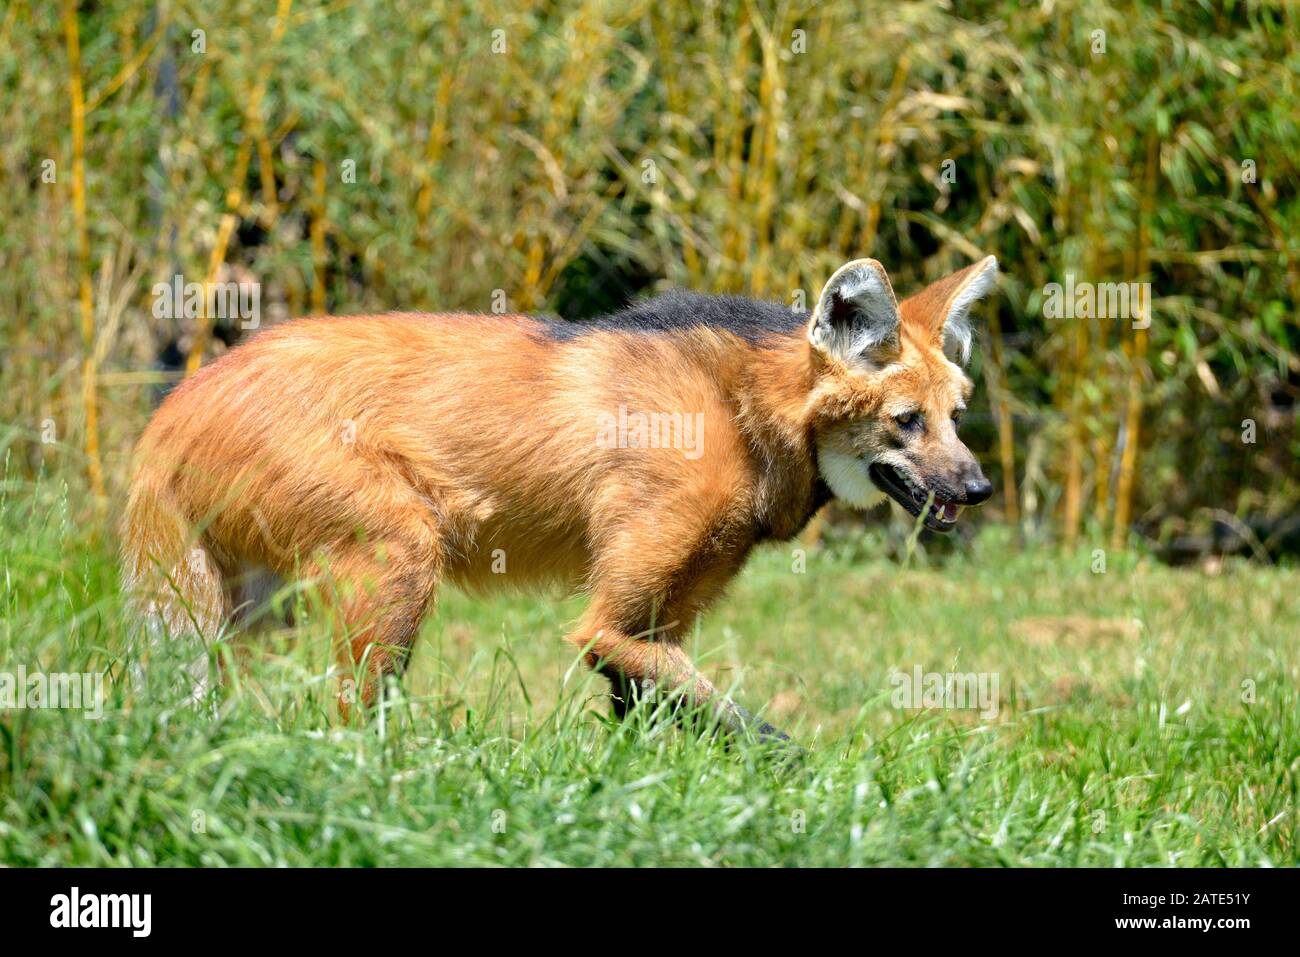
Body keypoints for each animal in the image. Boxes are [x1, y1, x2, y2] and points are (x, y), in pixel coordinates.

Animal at [124, 257, 993, 743]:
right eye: (905, 421)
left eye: (957, 415)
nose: (977, 486)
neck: (743, 414)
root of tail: (171, 408)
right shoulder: (612, 620)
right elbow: (759, 731)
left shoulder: (655, 622)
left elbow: (650, 721)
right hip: (396, 552)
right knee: (347, 709)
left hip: (251, 602)